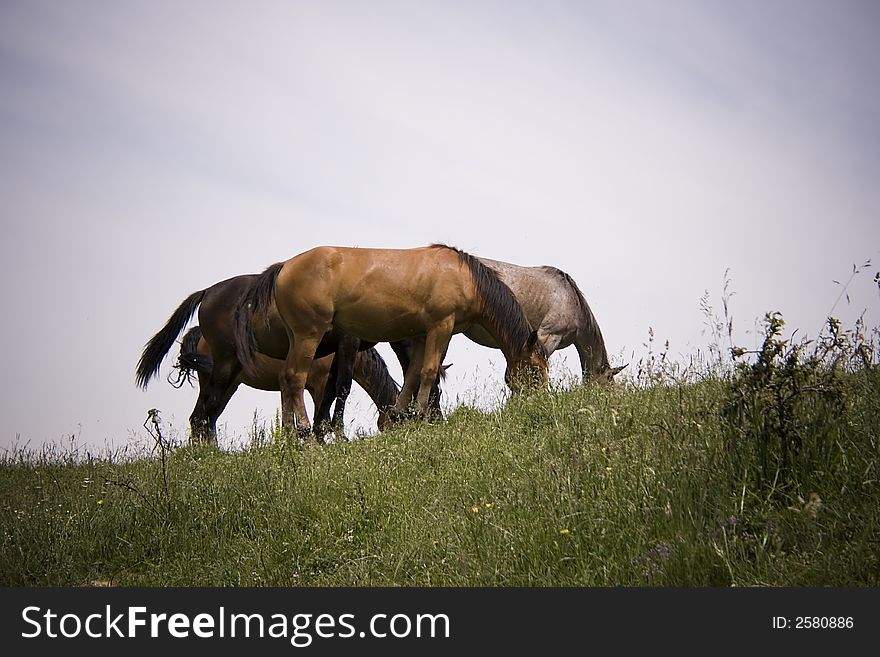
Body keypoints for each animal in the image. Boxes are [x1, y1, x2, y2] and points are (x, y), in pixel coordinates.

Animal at [136, 272, 408, 446]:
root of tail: (207, 293)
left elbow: (329, 395)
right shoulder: (336, 360)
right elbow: (340, 390)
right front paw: (333, 437)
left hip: (229, 382)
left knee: (203, 417)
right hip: (222, 372)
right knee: (204, 414)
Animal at [234, 243, 552, 434]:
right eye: (535, 371)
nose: (543, 403)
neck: (465, 277)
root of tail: (284, 266)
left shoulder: (422, 333)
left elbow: (413, 374)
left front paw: (402, 413)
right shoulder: (441, 326)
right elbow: (428, 371)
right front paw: (420, 413)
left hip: (296, 336)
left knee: (285, 379)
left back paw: (290, 431)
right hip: (308, 334)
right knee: (294, 378)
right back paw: (301, 429)